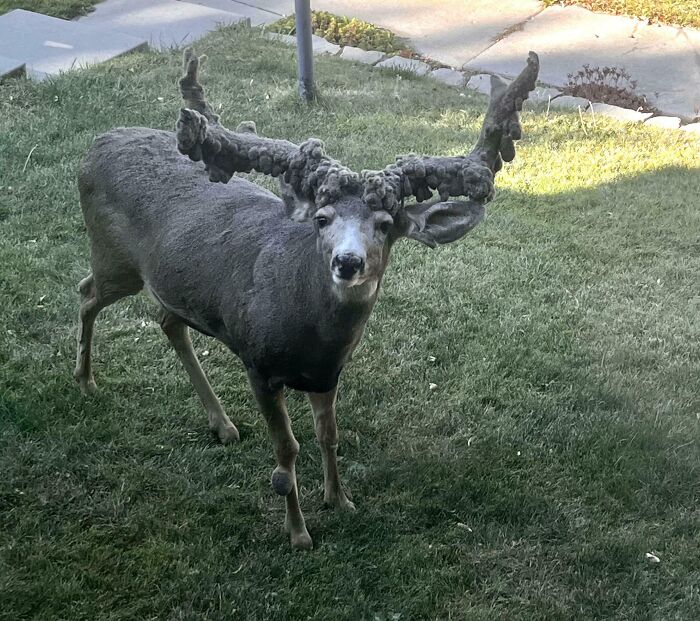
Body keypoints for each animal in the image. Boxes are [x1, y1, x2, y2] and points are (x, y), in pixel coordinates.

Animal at [75, 48, 539, 549]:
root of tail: (96, 145)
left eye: (385, 224)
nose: (348, 262)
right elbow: (285, 454)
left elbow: (328, 435)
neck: (309, 334)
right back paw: (85, 380)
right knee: (86, 294)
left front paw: (339, 499)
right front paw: (298, 534)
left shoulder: (327, 373)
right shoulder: (258, 364)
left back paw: (222, 425)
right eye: (321, 218)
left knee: (166, 321)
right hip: (114, 259)